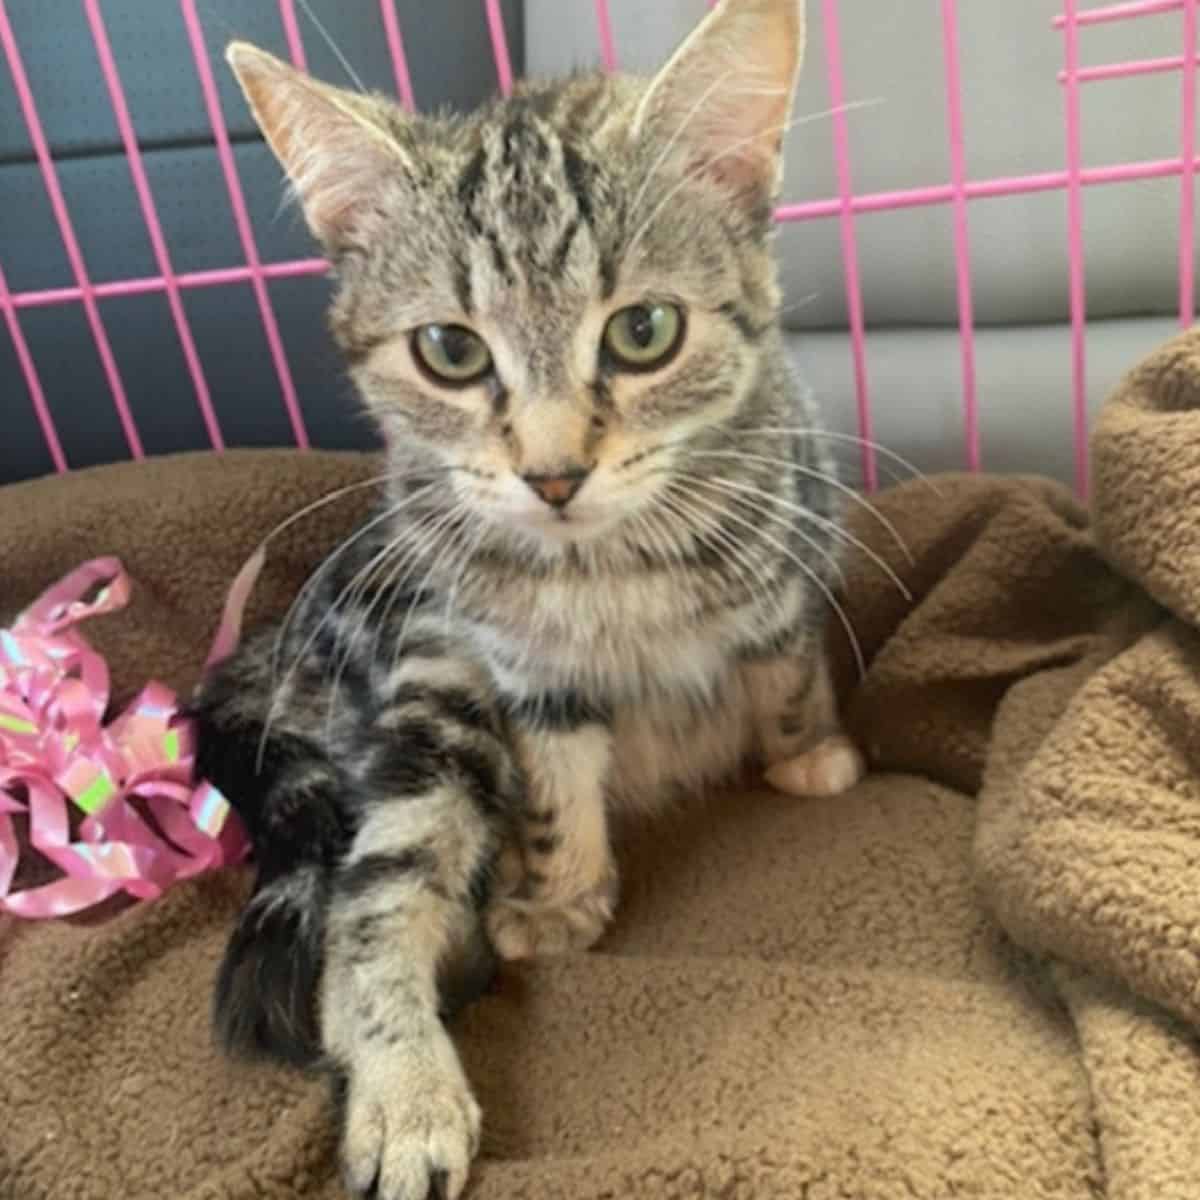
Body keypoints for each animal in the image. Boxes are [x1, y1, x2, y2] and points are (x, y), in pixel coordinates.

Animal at [196, 4, 868, 1195]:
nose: (554, 474)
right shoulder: (516, 667)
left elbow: (785, 660)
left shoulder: (790, 536)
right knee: (365, 906)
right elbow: (555, 777)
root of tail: (275, 646)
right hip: (429, 673)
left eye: (644, 331)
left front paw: (806, 752)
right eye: (450, 350)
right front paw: (560, 893)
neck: (614, 569)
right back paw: (406, 1091)